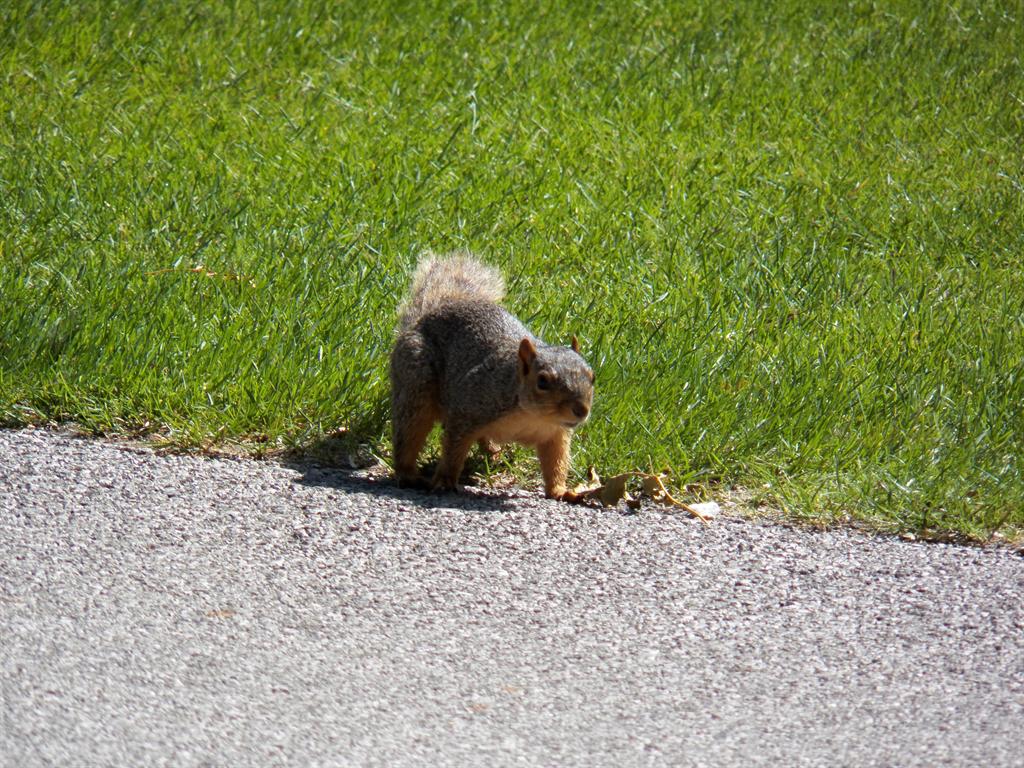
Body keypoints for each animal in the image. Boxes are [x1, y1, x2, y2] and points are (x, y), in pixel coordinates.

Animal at [390, 251, 594, 502]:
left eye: (593, 377)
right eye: (542, 381)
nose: (581, 410)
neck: (531, 416)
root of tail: (423, 318)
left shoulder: (555, 434)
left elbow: (556, 463)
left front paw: (560, 491)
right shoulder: (467, 409)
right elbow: (453, 449)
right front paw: (445, 481)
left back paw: (494, 452)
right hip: (416, 380)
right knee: (409, 432)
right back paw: (409, 475)